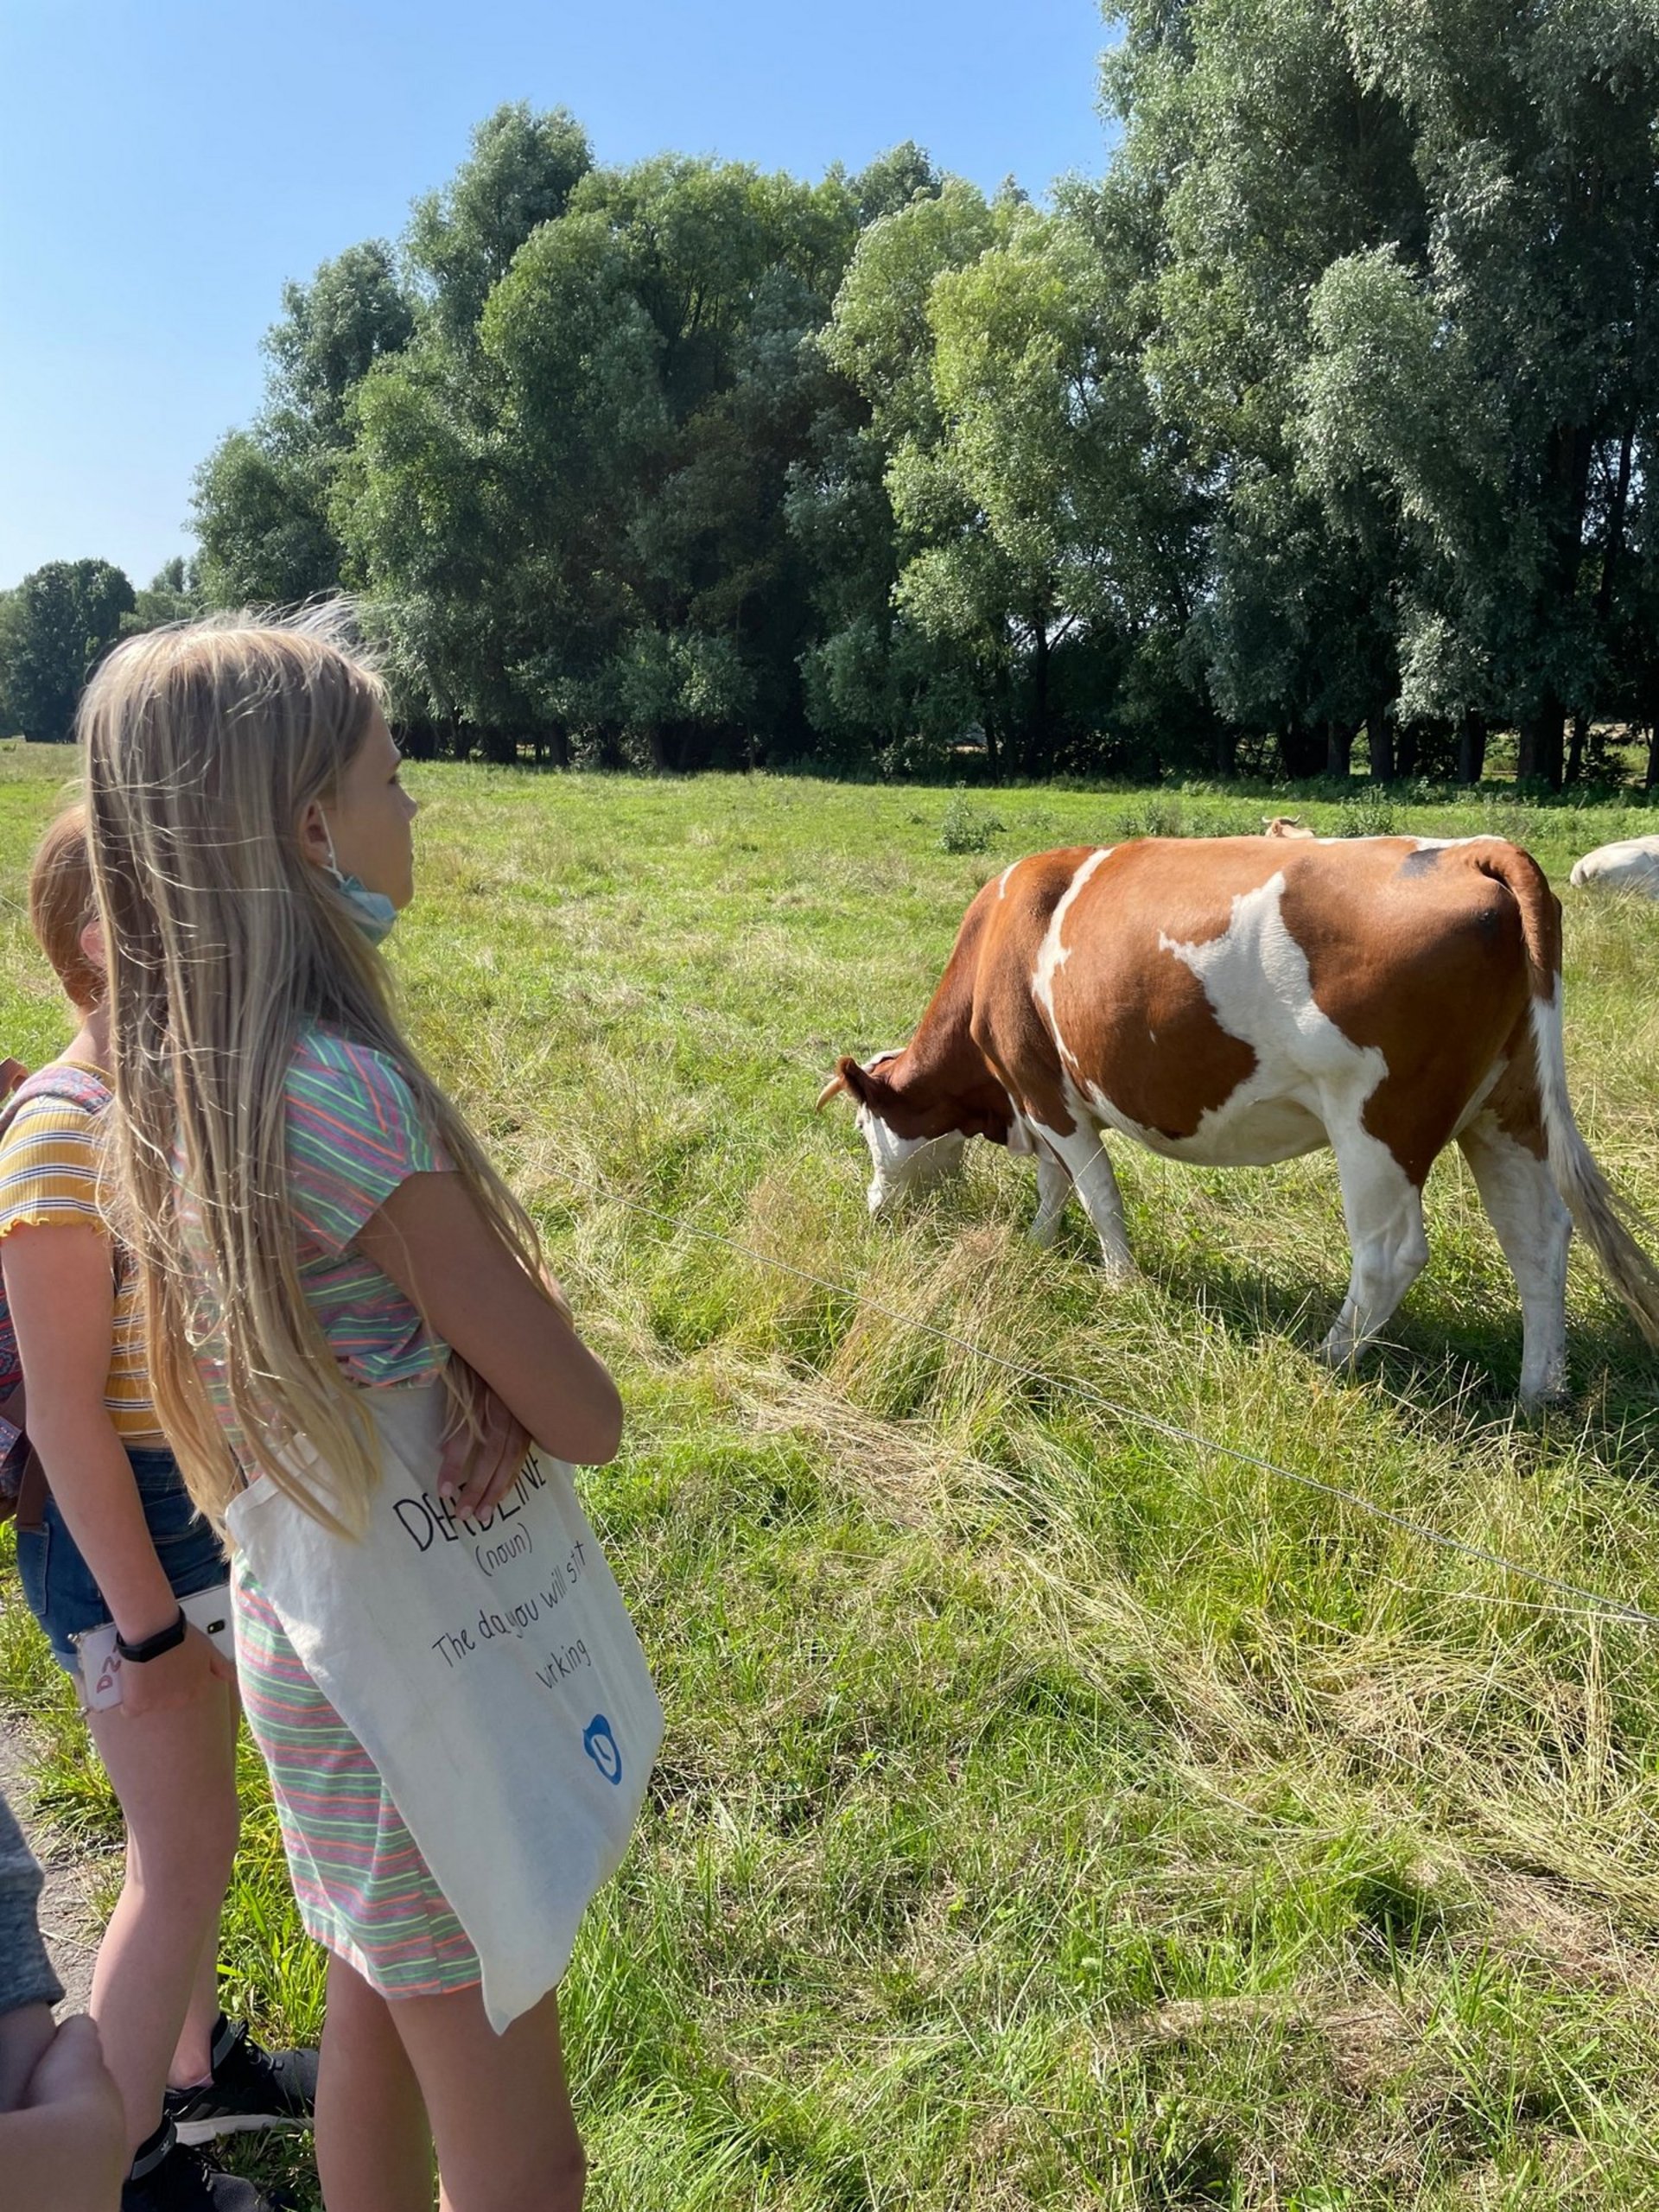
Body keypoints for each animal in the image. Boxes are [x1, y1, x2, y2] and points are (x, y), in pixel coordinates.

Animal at [818, 831, 1659, 1397]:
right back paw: (1539, 1391)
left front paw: (1120, 1284)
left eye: (865, 1130)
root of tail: (1471, 850)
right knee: (1536, 1238)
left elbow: (1095, 1191)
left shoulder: (1045, 1088)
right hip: (1506, 1110)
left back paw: (1327, 1360)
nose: (874, 1212)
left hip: (1377, 1122)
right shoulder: (1038, 1099)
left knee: (1389, 1254)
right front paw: (1037, 1243)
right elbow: (1057, 1185)